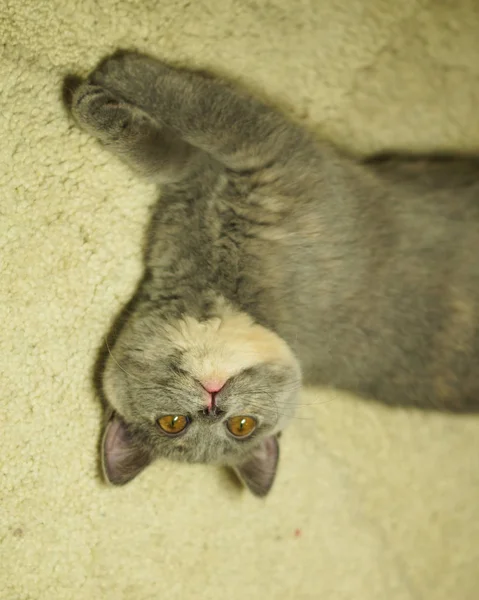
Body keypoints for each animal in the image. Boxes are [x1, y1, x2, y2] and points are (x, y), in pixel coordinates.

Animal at [67, 50, 479, 496]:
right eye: (173, 423)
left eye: (241, 426)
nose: (213, 406)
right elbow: (174, 152)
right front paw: (104, 98)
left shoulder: (276, 153)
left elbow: (209, 113)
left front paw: (116, 76)